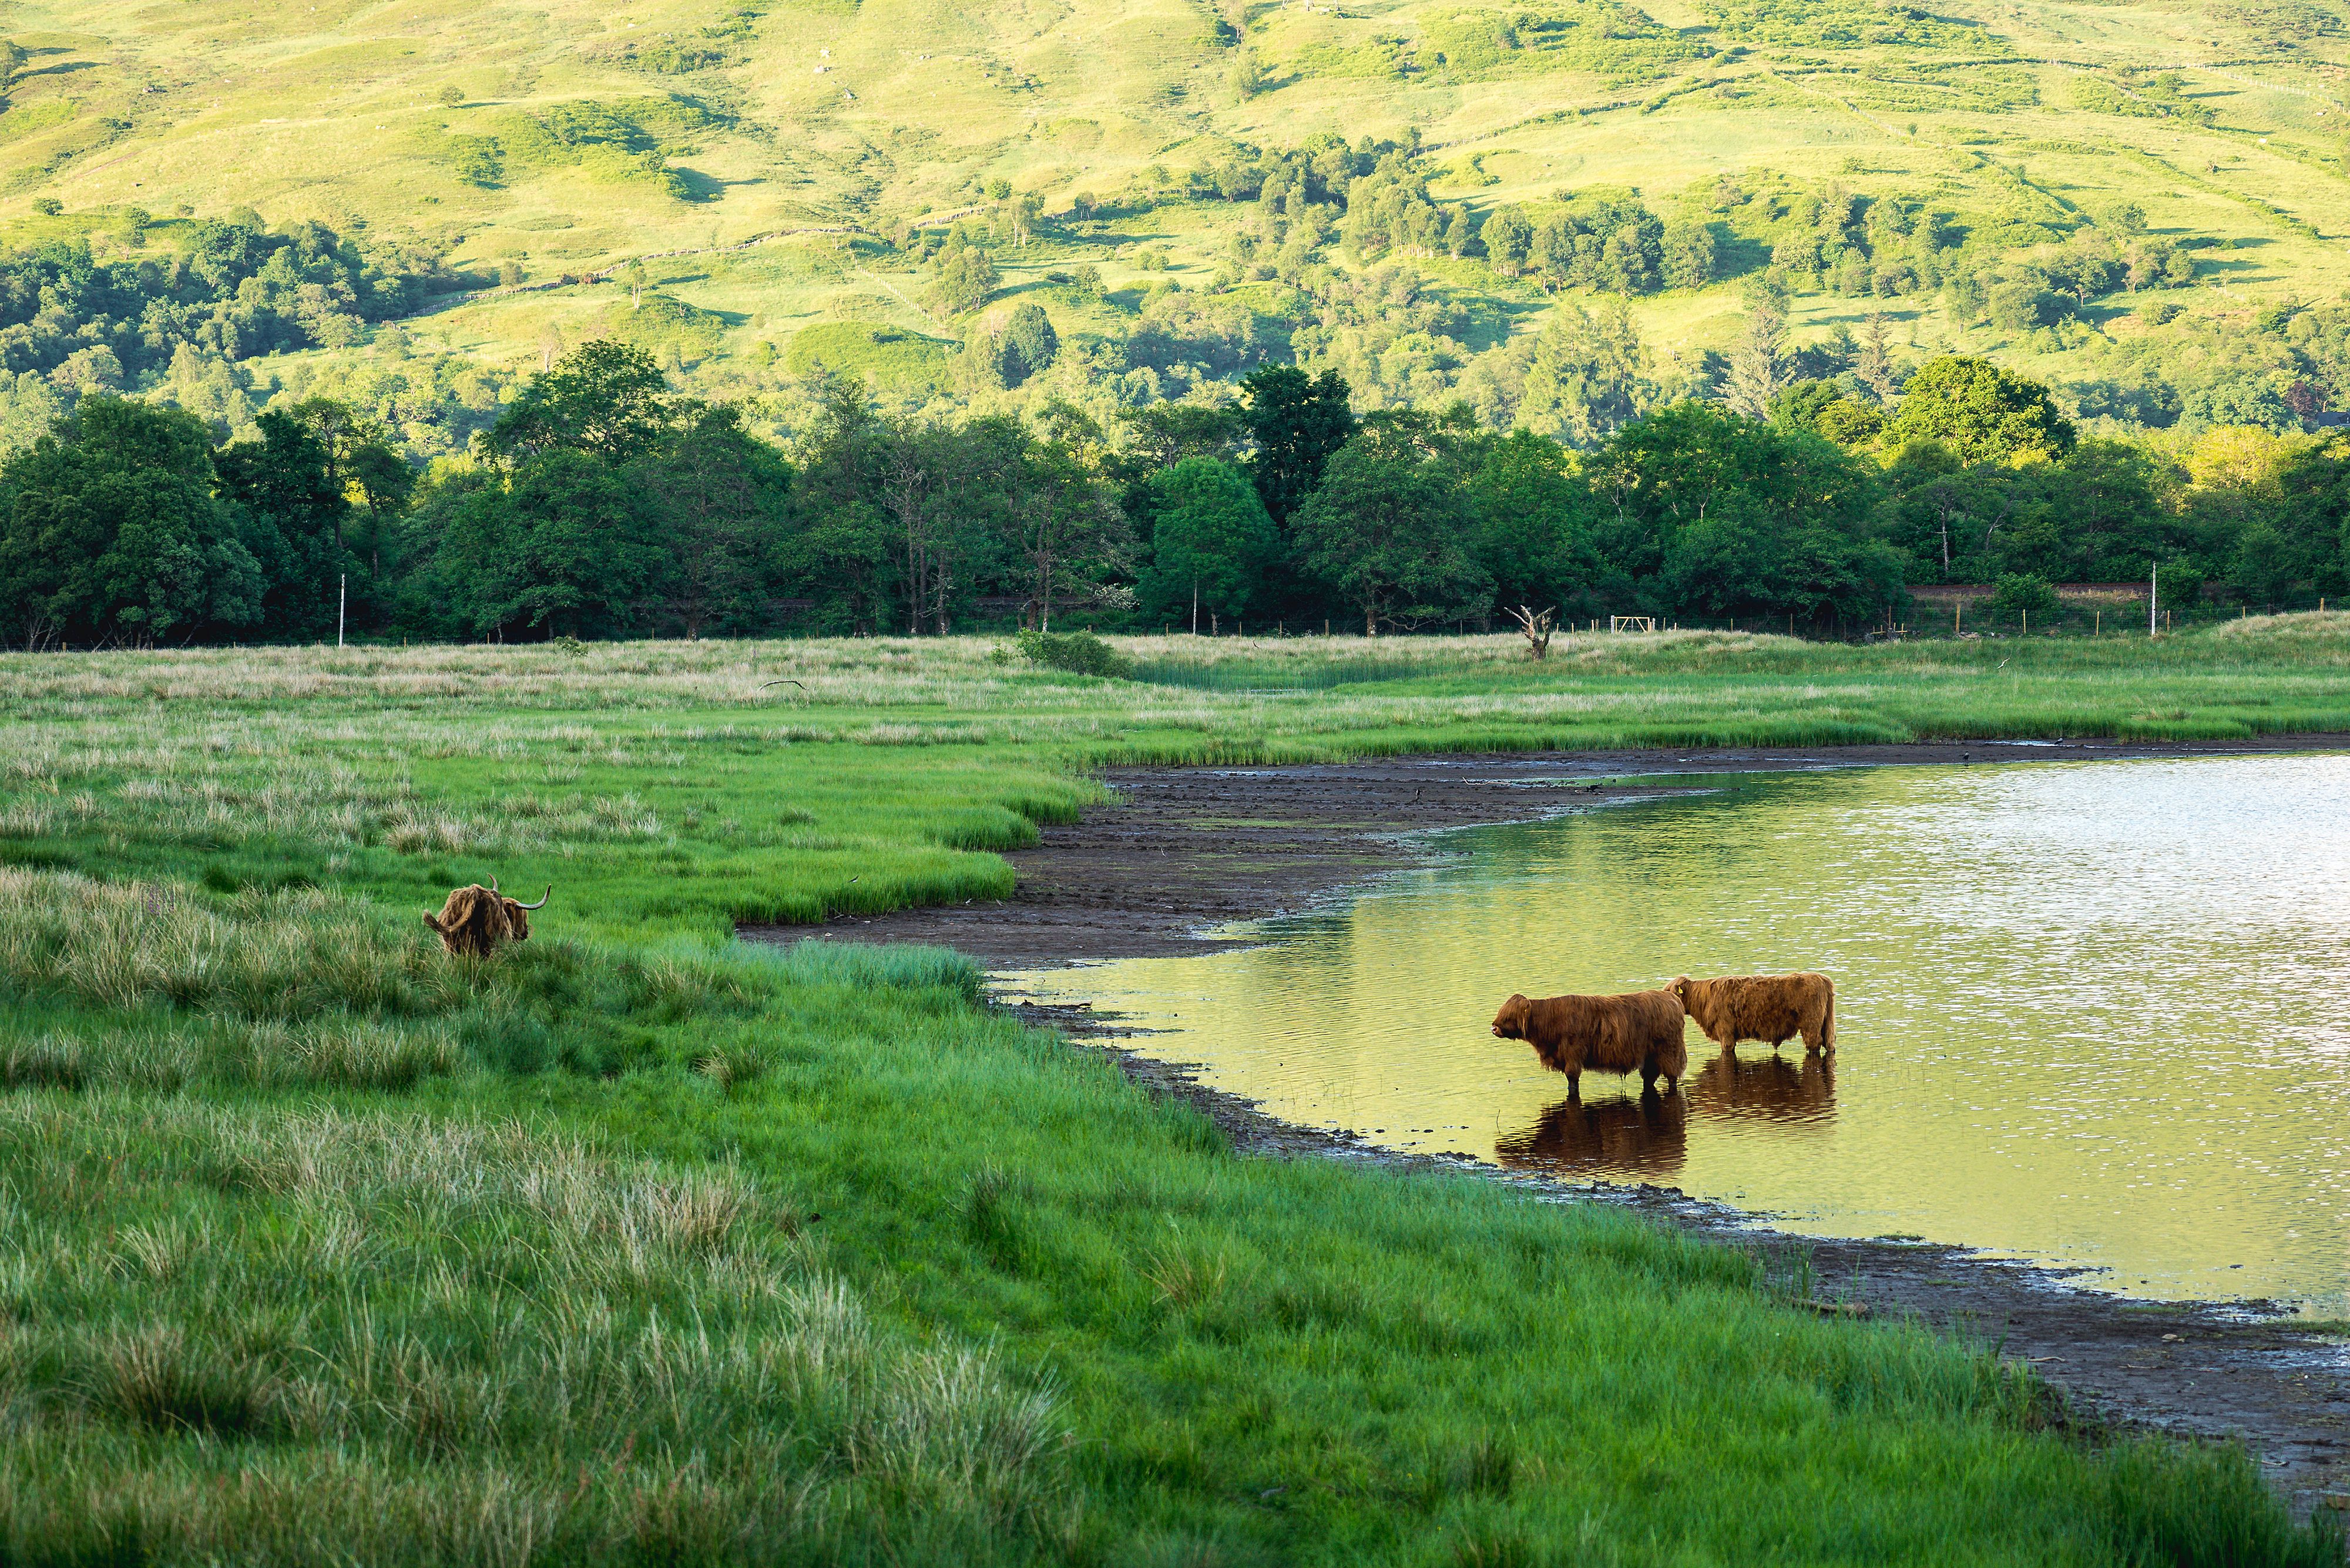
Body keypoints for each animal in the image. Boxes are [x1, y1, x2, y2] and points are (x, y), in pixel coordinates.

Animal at [1489, 988, 1688, 1094]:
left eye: (1509, 1015)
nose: (1494, 1028)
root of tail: (1672, 998)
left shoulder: (1573, 1054)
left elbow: (1572, 1079)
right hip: (1650, 1057)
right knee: (1649, 1076)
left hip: (1670, 1051)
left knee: (1672, 1076)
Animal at [1670, 972, 1836, 1057]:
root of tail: (1822, 978)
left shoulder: (1726, 1034)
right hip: (1827, 1026)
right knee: (1829, 1043)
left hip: (1811, 1025)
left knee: (1814, 1044)